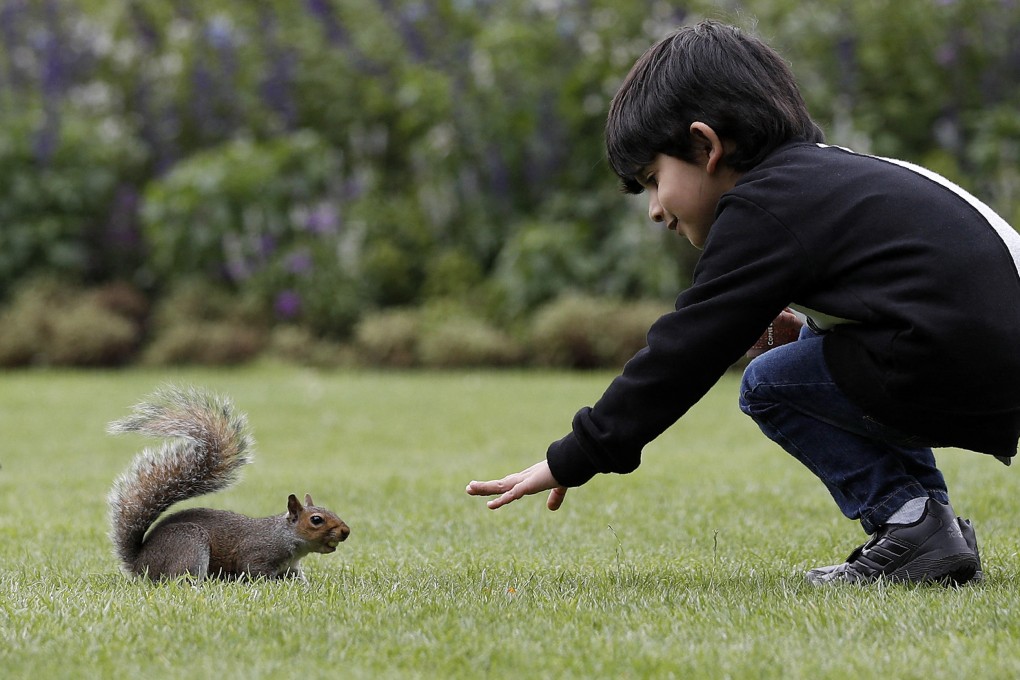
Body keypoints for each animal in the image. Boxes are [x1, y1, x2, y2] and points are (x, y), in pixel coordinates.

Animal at [106, 384, 350, 580]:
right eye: (316, 520)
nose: (346, 531)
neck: (284, 536)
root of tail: (141, 563)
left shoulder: (291, 569)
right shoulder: (256, 555)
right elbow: (255, 572)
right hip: (189, 546)